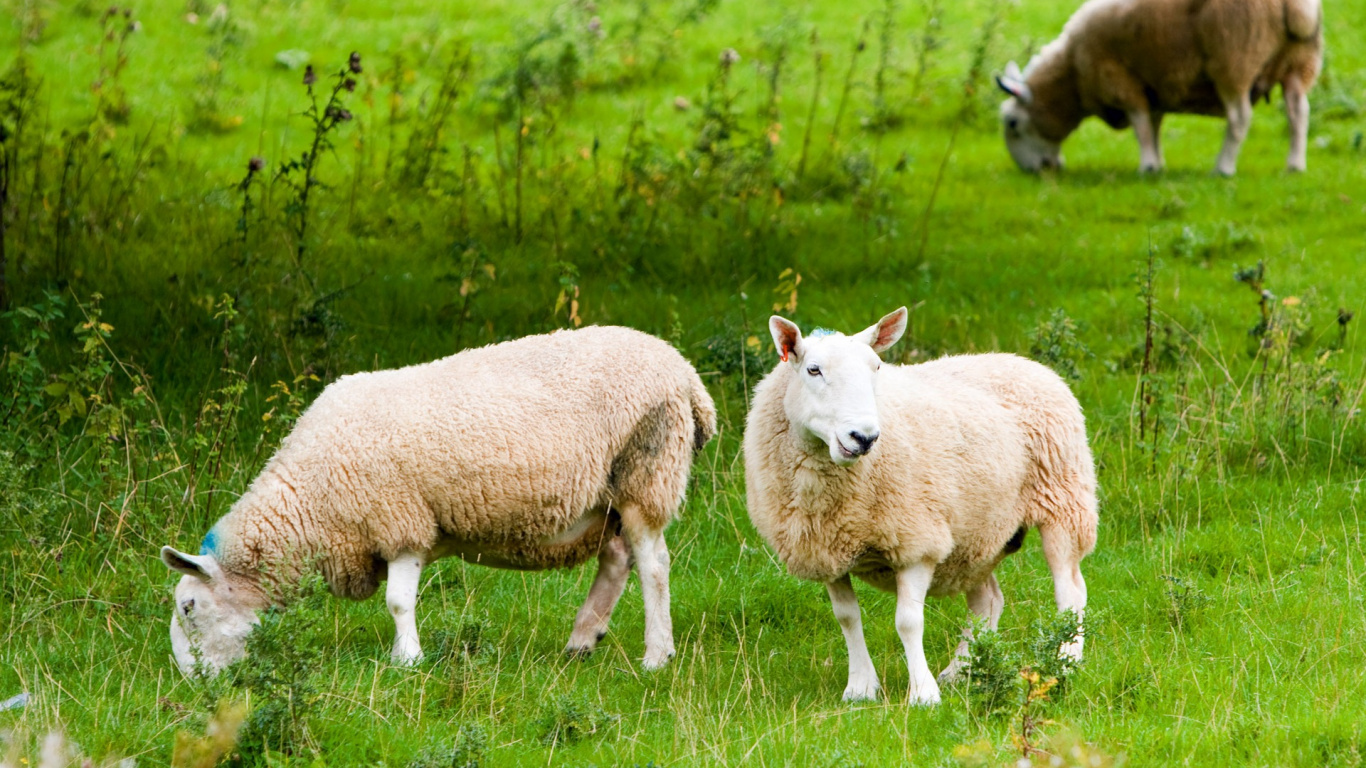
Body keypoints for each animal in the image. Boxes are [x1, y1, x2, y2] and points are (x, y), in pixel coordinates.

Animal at [159, 325, 716, 676]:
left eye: (189, 606)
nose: (192, 680)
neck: (307, 506)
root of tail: (688, 376)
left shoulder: (400, 522)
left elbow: (397, 601)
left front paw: (407, 660)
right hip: (610, 499)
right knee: (618, 559)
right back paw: (583, 640)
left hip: (646, 471)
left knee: (653, 564)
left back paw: (656, 655)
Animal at [743, 309, 1098, 704]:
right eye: (813, 370)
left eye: (876, 367)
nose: (863, 437)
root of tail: (1022, 361)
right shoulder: (825, 550)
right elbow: (847, 617)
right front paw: (860, 687)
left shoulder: (916, 541)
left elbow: (908, 622)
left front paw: (923, 694)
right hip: (978, 534)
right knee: (987, 601)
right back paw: (962, 670)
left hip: (1064, 501)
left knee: (1070, 591)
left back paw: (1065, 662)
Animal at [996, 0, 1323, 175]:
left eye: (1012, 123)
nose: (1033, 171)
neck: (1072, 73)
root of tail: (1297, 8)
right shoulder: (1153, 84)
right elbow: (1153, 126)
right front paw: (1158, 164)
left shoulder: (1120, 81)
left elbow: (1140, 126)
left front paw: (1148, 166)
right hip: (1299, 60)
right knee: (1298, 113)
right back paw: (1295, 164)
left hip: (1234, 57)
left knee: (1239, 118)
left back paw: (1223, 167)